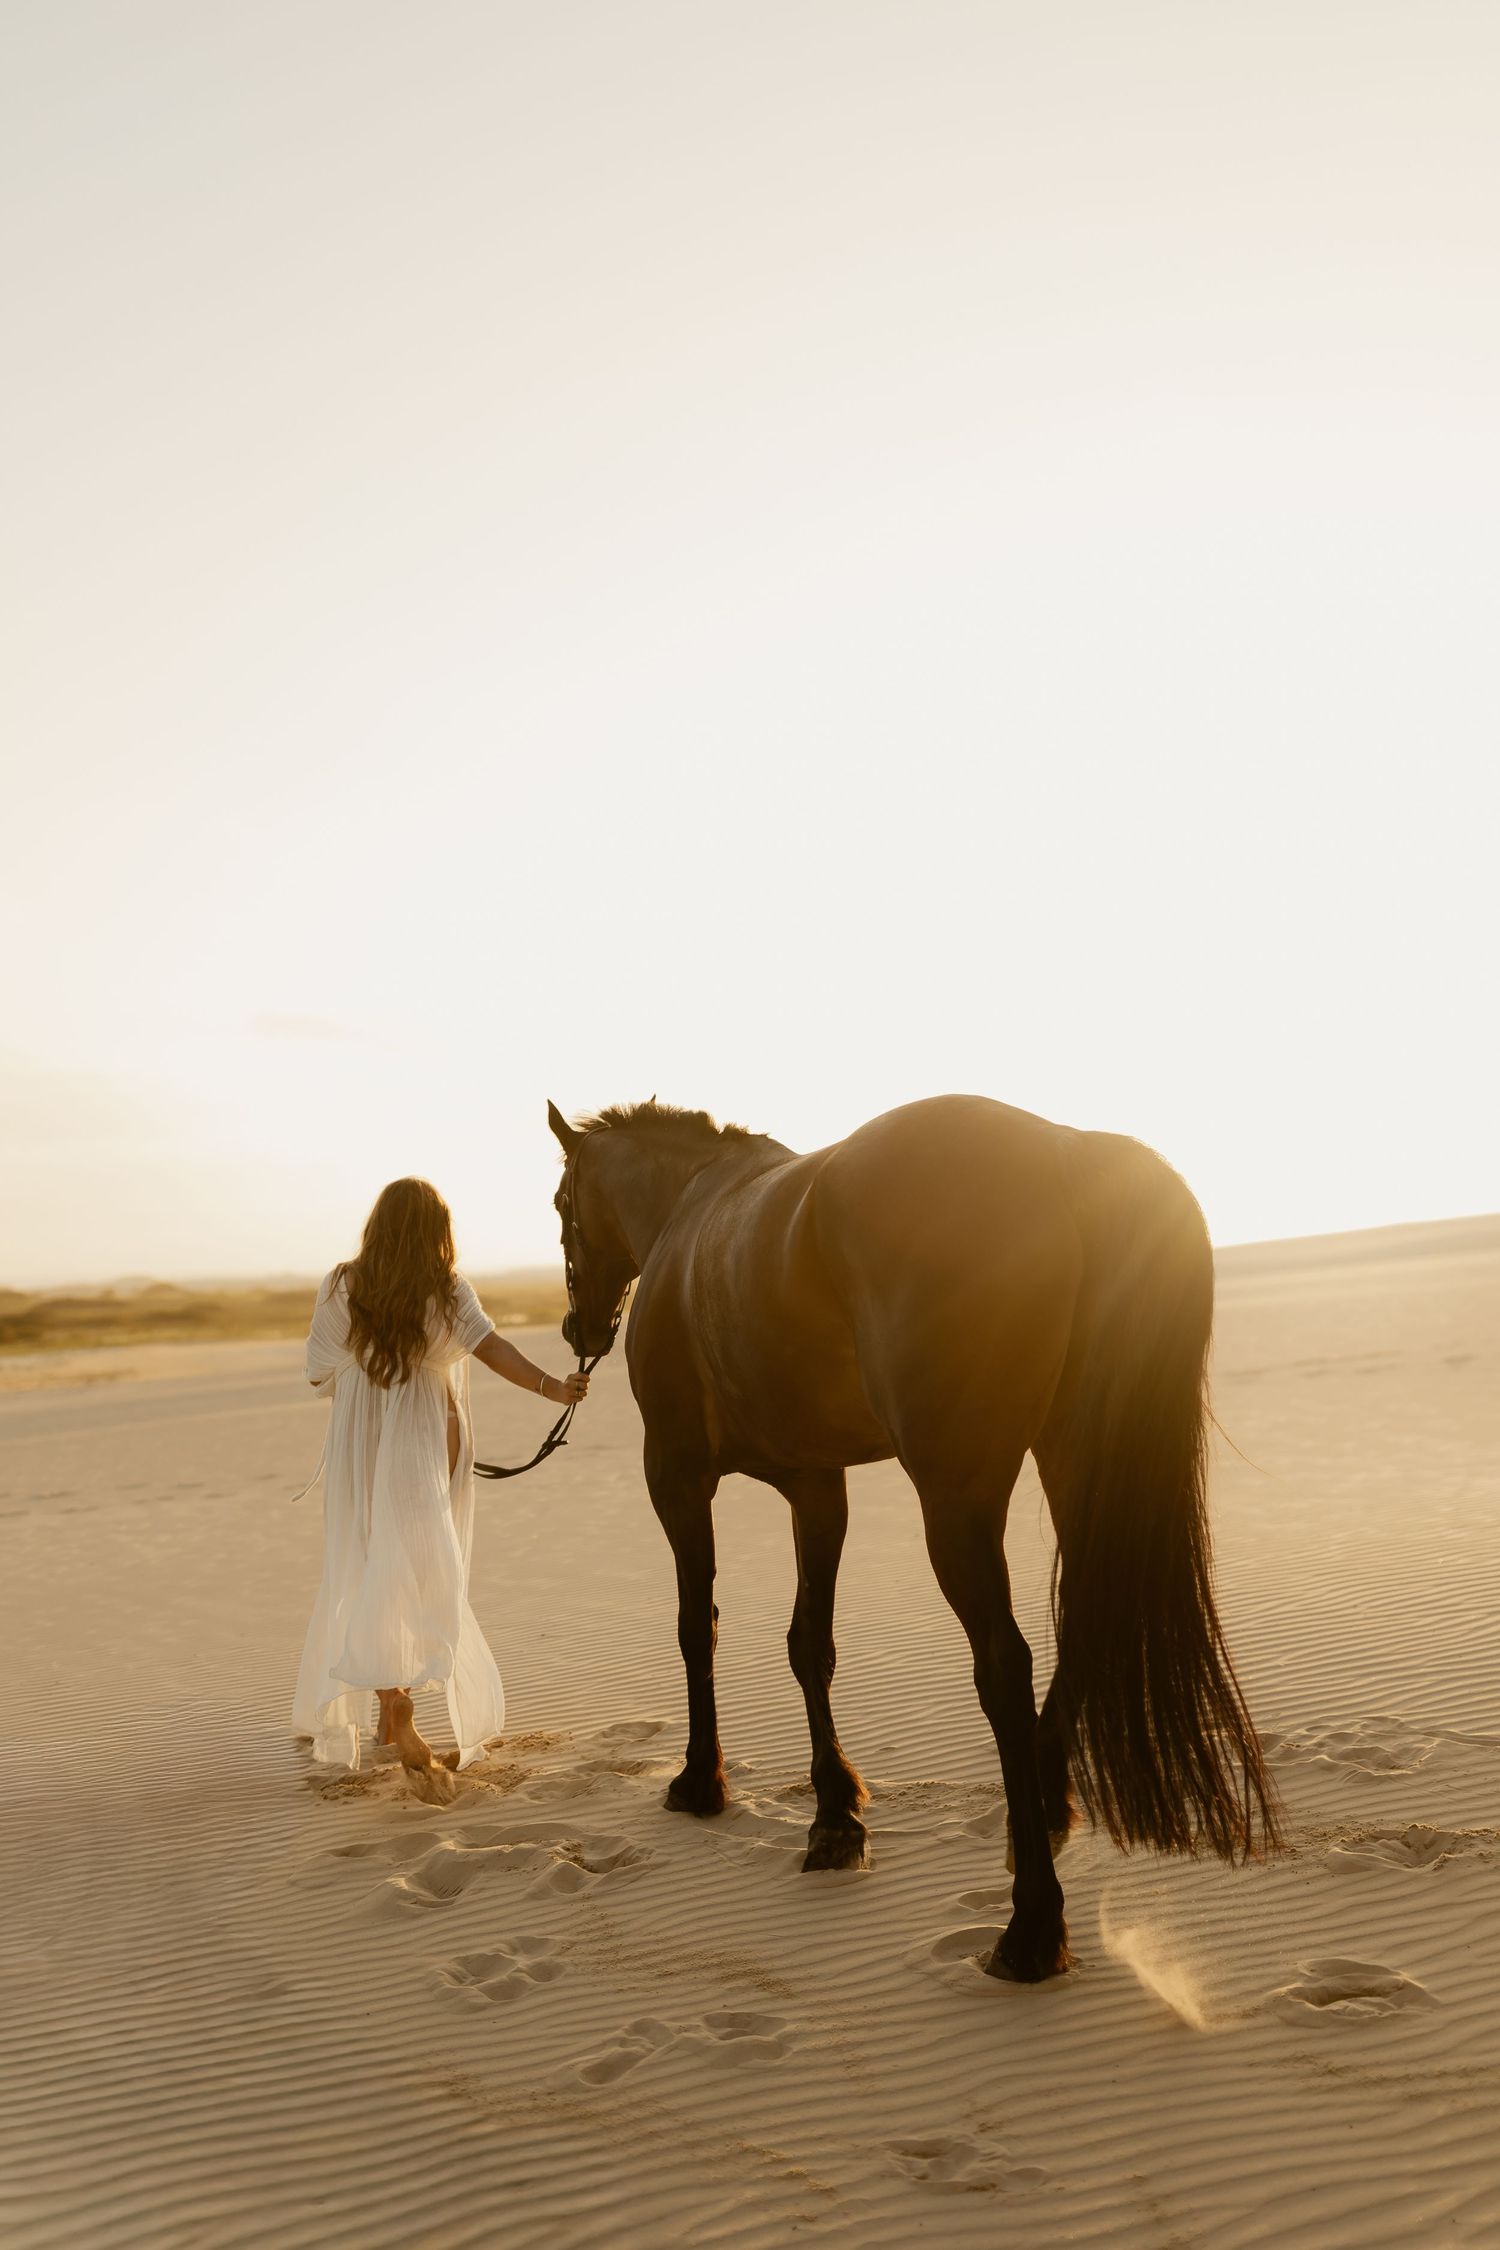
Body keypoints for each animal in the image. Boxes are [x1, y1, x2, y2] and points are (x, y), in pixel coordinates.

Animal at [546, 1092, 1280, 1982]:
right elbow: (809, 1644)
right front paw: (834, 1815)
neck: (689, 1214)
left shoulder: (676, 1478)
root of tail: (1063, 1151)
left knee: (1004, 1667)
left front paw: (699, 1779)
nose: (578, 1329)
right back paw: (1042, 1805)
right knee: (1085, 1623)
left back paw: (1031, 1927)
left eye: (561, 1207)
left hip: (957, 1497)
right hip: (1077, 1458)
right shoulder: (816, 1484)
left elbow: (697, 1629)